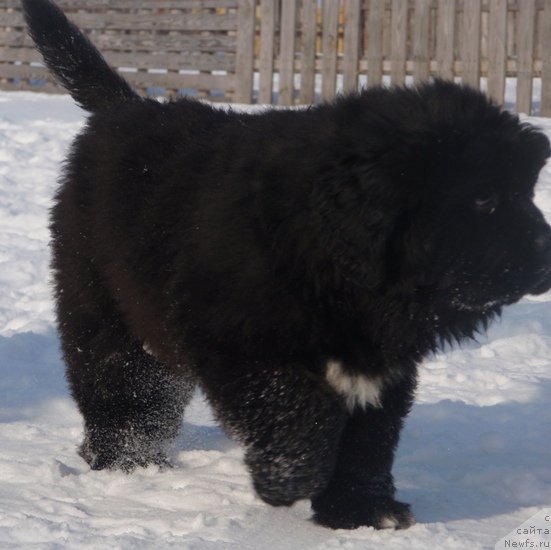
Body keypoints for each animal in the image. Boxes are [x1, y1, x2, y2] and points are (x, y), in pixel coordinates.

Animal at [23, 0, 551, 536]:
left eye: (525, 191)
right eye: (483, 199)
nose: (545, 254)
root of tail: (127, 106)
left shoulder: (380, 364)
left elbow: (369, 439)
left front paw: (360, 512)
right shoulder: (236, 339)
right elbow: (297, 411)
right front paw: (289, 479)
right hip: (102, 306)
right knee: (119, 389)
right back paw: (126, 462)